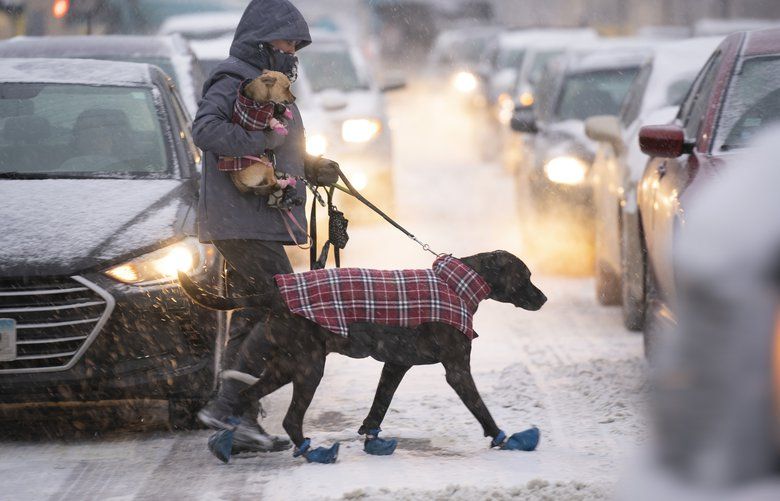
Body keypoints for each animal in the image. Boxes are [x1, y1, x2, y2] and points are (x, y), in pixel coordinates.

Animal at [181, 248, 548, 462]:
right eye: (525, 276)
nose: (544, 299)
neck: (457, 285)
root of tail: (275, 294)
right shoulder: (457, 370)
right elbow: (482, 410)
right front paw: (506, 439)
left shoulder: (395, 364)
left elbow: (379, 407)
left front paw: (373, 439)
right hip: (309, 367)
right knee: (290, 418)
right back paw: (310, 452)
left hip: (285, 365)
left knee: (246, 394)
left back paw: (228, 438)